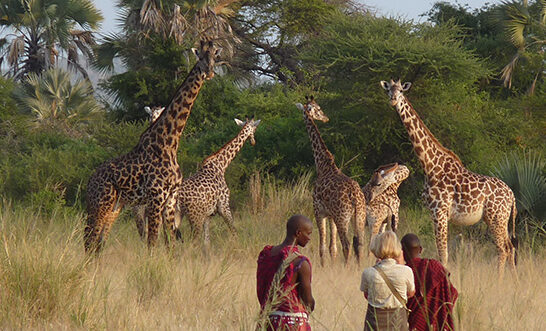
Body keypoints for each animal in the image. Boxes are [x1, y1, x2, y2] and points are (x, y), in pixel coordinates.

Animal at [84, 41, 220, 254]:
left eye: (215, 55)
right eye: (200, 57)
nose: (210, 72)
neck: (169, 143)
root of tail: (90, 181)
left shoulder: (170, 200)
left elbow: (171, 245)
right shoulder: (155, 198)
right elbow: (152, 243)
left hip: (115, 207)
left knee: (98, 242)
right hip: (100, 204)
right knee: (89, 240)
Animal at [294, 97, 366, 266]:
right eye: (319, 108)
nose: (326, 118)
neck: (323, 165)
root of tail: (355, 196)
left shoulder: (318, 211)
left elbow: (323, 247)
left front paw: (324, 266)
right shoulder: (331, 215)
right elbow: (333, 248)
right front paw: (331, 266)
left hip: (343, 218)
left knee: (347, 244)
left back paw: (346, 268)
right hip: (359, 216)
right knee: (359, 243)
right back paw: (359, 267)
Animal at [378, 79, 516, 276]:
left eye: (401, 91)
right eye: (388, 90)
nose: (393, 100)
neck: (430, 165)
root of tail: (512, 196)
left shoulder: (440, 211)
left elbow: (443, 253)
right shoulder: (433, 212)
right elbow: (442, 251)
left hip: (496, 217)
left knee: (502, 249)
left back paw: (499, 279)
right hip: (500, 219)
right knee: (510, 247)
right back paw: (515, 279)